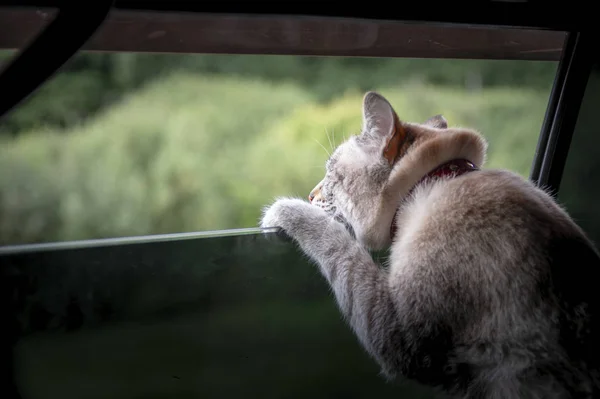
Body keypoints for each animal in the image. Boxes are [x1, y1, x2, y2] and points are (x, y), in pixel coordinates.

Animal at [260, 92, 600, 398]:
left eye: (331, 174)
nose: (310, 195)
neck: (436, 180)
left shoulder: (398, 332)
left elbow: (333, 240)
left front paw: (283, 209)